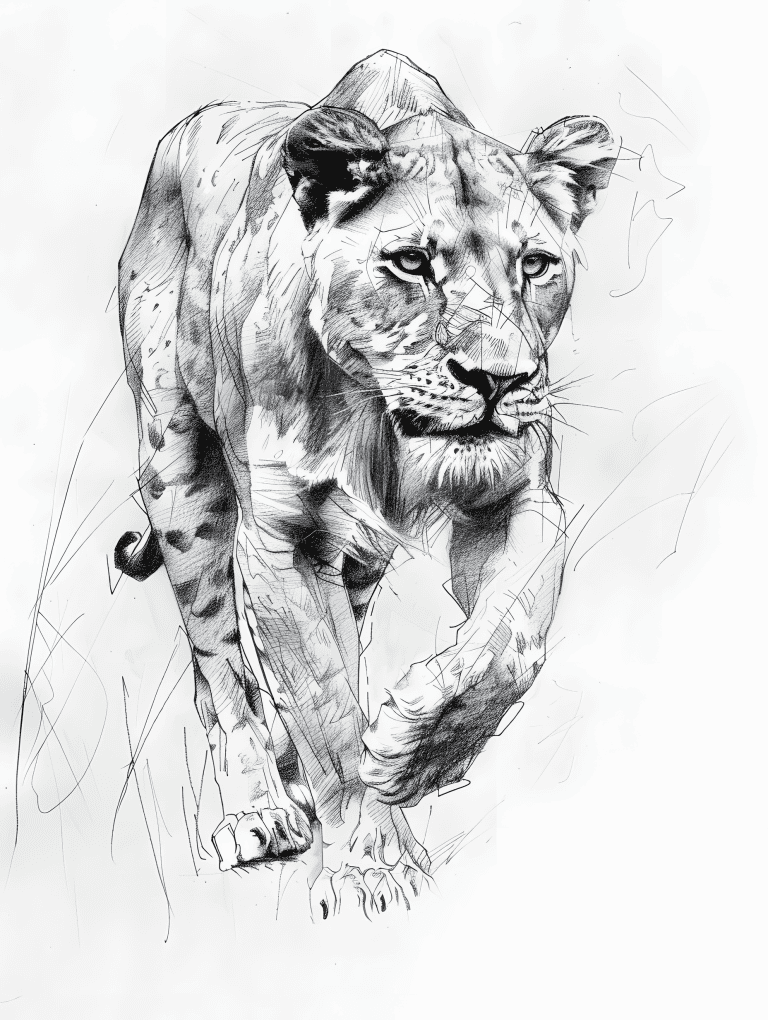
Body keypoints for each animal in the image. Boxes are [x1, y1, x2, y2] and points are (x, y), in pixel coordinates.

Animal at [115, 49, 617, 918]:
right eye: (412, 263)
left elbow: (511, 639)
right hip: (178, 477)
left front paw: (415, 750)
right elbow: (325, 705)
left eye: (534, 265)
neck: (384, 423)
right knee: (220, 667)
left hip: (356, 558)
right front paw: (370, 864)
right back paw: (258, 810)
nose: (497, 379)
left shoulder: (517, 497)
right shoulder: (280, 540)